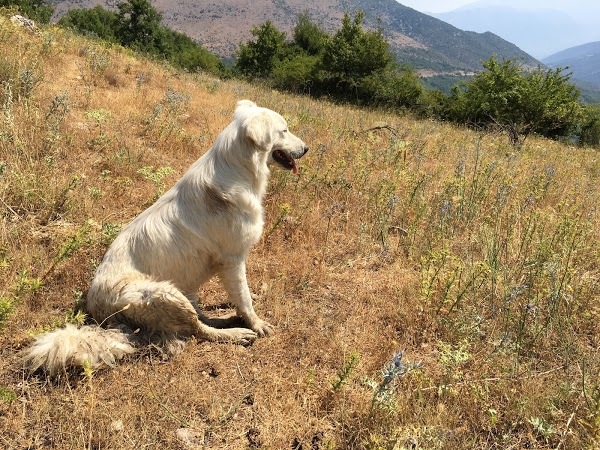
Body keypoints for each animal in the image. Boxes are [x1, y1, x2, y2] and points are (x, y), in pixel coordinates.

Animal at [25, 101, 310, 376]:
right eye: (284, 131)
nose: (307, 148)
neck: (239, 168)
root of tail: (101, 317)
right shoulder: (233, 260)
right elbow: (244, 298)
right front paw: (257, 324)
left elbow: (240, 299)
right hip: (166, 294)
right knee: (198, 330)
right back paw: (236, 332)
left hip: (182, 292)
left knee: (200, 320)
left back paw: (227, 319)